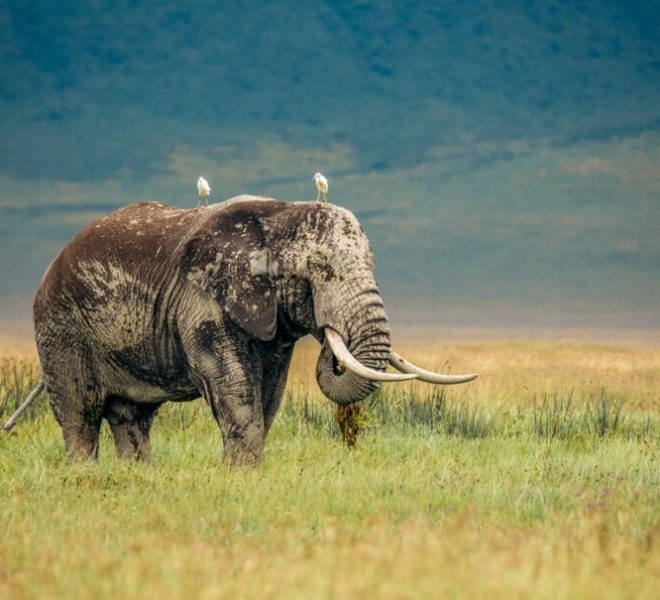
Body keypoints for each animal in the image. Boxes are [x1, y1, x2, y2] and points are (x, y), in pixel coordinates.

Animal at [31, 195, 476, 466]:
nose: (330, 347)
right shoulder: (202, 299)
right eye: (321, 271)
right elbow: (233, 384)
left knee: (133, 417)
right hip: (59, 325)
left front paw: (247, 474)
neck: (278, 217)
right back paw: (84, 474)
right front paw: (242, 474)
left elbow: (269, 391)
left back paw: (137, 473)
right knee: (79, 413)